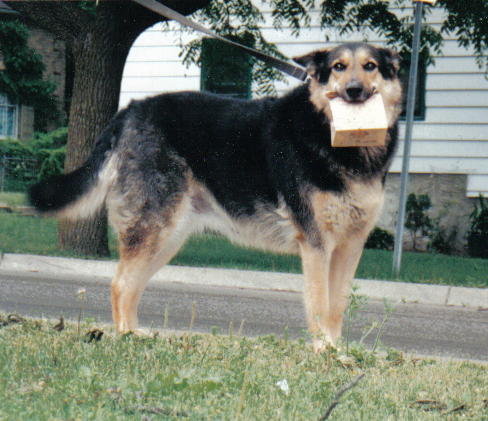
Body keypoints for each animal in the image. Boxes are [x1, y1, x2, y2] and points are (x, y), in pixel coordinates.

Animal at [29, 42, 402, 352]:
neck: (333, 135)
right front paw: (323, 351)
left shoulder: (350, 246)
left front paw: (337, 351)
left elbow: (337, 305)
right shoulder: (316, 245)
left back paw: (135, 334)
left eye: (370, 66)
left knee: (130, 285)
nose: (354, 91)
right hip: (154, 230)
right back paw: (125, 339)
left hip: (167, 240)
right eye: (339, 67)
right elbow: (319, 304)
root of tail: (129, 111)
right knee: (120, 284)